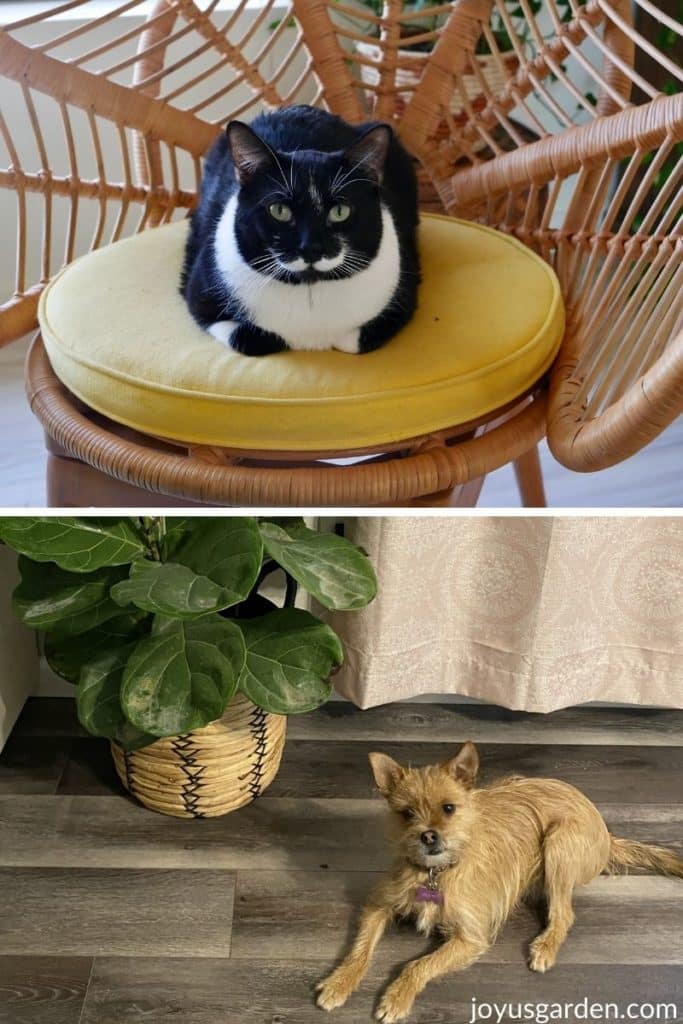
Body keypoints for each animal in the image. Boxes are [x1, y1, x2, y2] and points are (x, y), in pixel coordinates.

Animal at [179, 104, 419, 356]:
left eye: (340, 211)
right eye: (279, 210)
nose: (311, 248)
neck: (308, 289)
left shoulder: (404, 293)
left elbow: (356, 341)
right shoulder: (200, 292)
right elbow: (252, 338)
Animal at [317, 745, 683, 1024]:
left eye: (448, 808)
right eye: (406, 814)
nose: (429, 836)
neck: (436, 871)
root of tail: (607, 835)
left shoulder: (470, 938)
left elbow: (418, 965)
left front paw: (397, 996)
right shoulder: (378, 906)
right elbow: (359, 950)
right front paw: (338, 983)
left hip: (559, 843)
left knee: (564, 913)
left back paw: (545, 946)